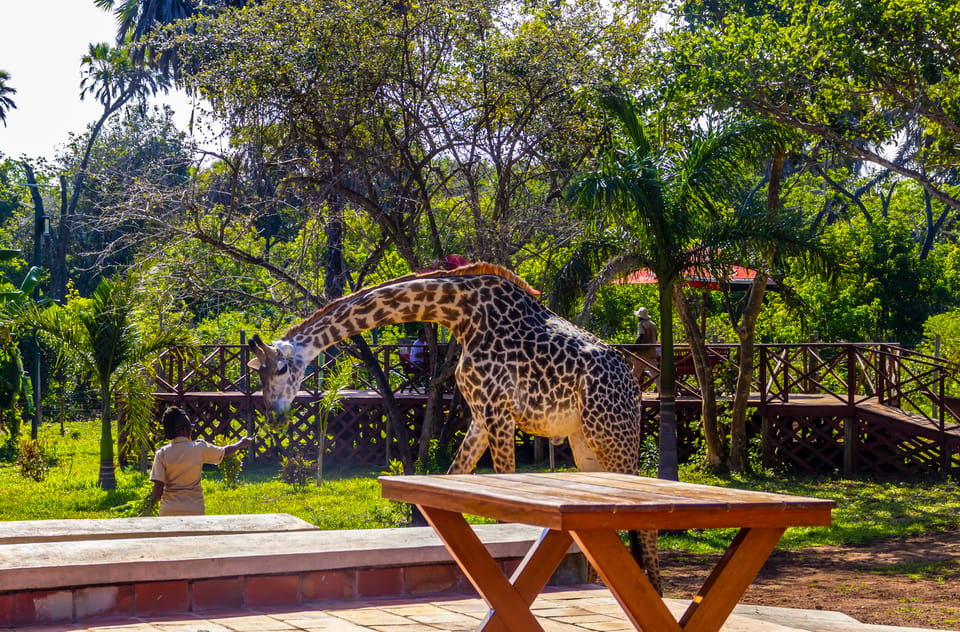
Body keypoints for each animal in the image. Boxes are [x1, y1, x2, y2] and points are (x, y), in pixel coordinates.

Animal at [248, 262, 660, 592]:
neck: (462, 315)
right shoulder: (480, 415)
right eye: (261, 375)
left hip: (613, 434)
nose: (274, 414)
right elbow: (451, 481)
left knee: (646, 521)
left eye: (281, 368)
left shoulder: (499, 412)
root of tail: (634, 385)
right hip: (584, 442)